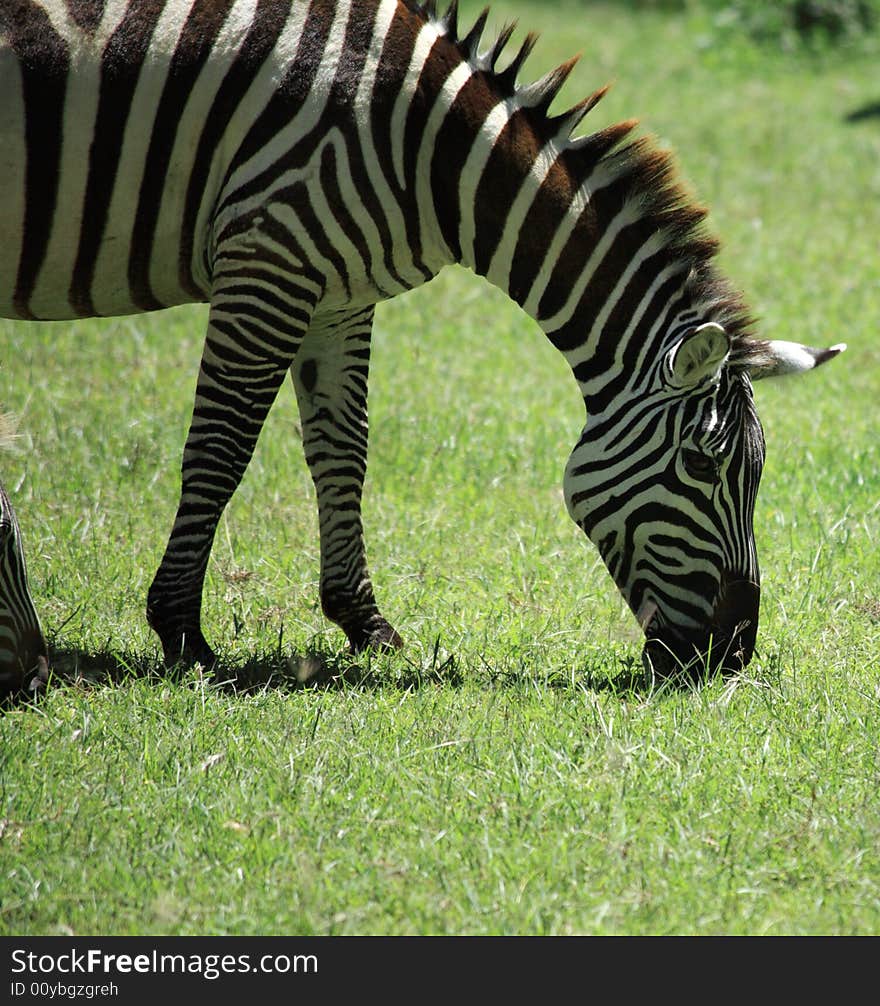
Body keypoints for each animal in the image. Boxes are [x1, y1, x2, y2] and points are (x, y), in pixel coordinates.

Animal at [0, 0, 844, 700]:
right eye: (702, 465)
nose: (733, 655)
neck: (429, 151)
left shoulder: (337, 290)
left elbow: (343, 450)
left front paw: (364, 624)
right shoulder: (269, 253)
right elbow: (222, 447)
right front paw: (181, 631)